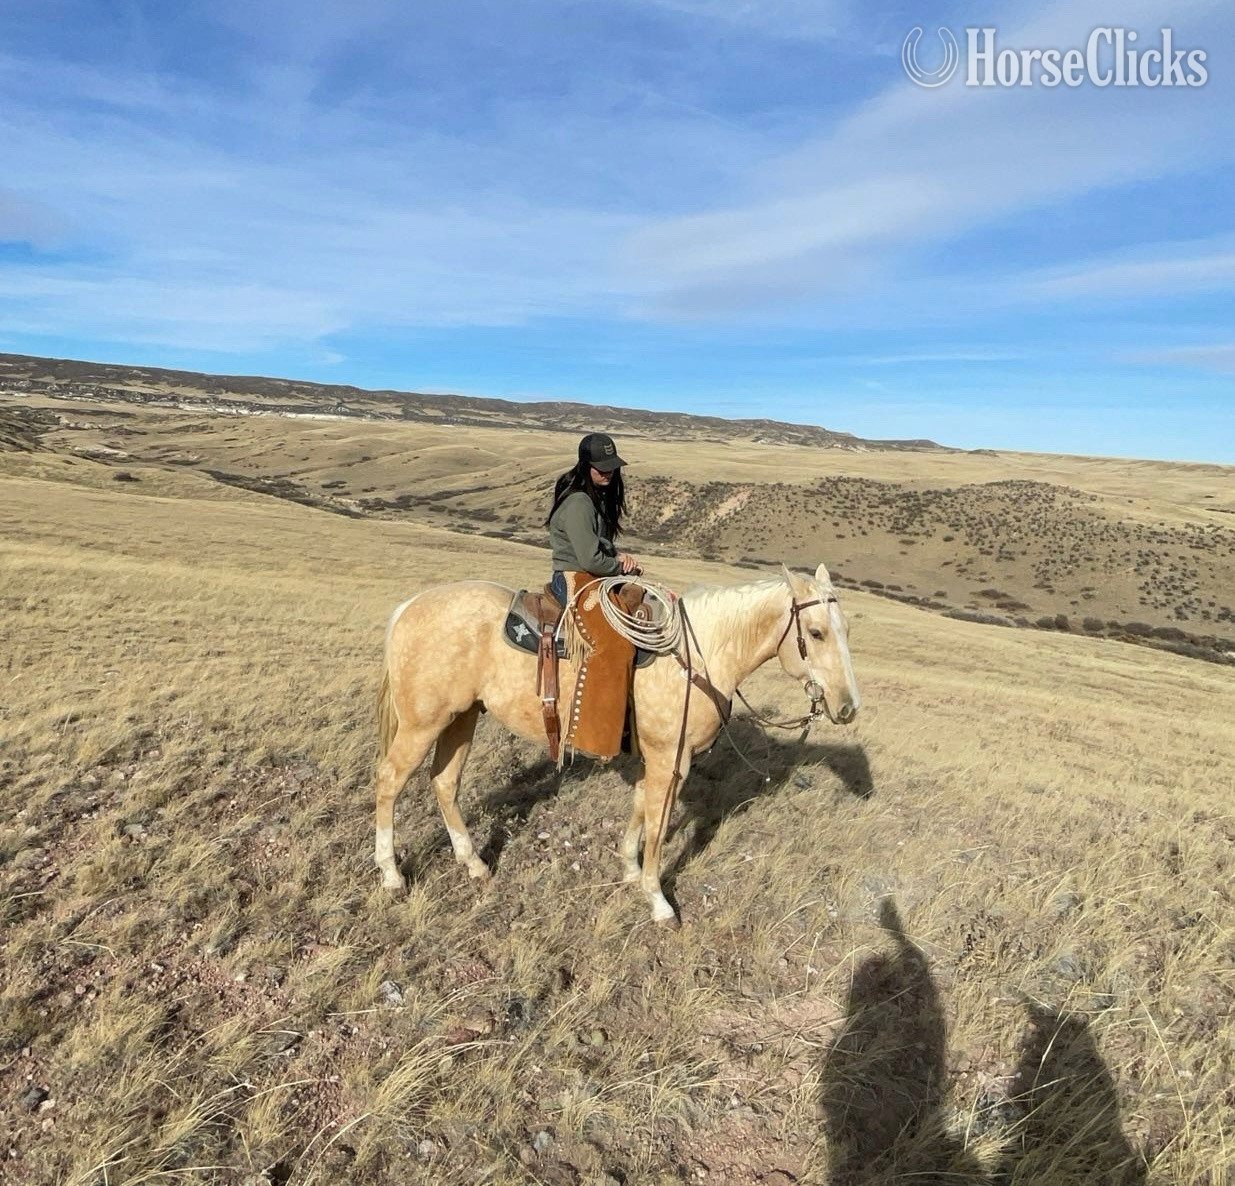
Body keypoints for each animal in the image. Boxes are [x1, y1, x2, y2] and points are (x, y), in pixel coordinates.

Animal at [374, 562, 860, 926]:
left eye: (846, 630)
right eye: (816, 633)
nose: (847, 707)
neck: (699, 656)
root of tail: (409, 607)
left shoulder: (659, 759)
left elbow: (641, 809)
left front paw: (629, 868)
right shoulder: (671, 760)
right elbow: (658, 826)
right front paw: (658, 900)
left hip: (462, 717)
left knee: (445, 782)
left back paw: (473, 862)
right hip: (423, 724)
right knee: (390, 781)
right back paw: (392, 875)